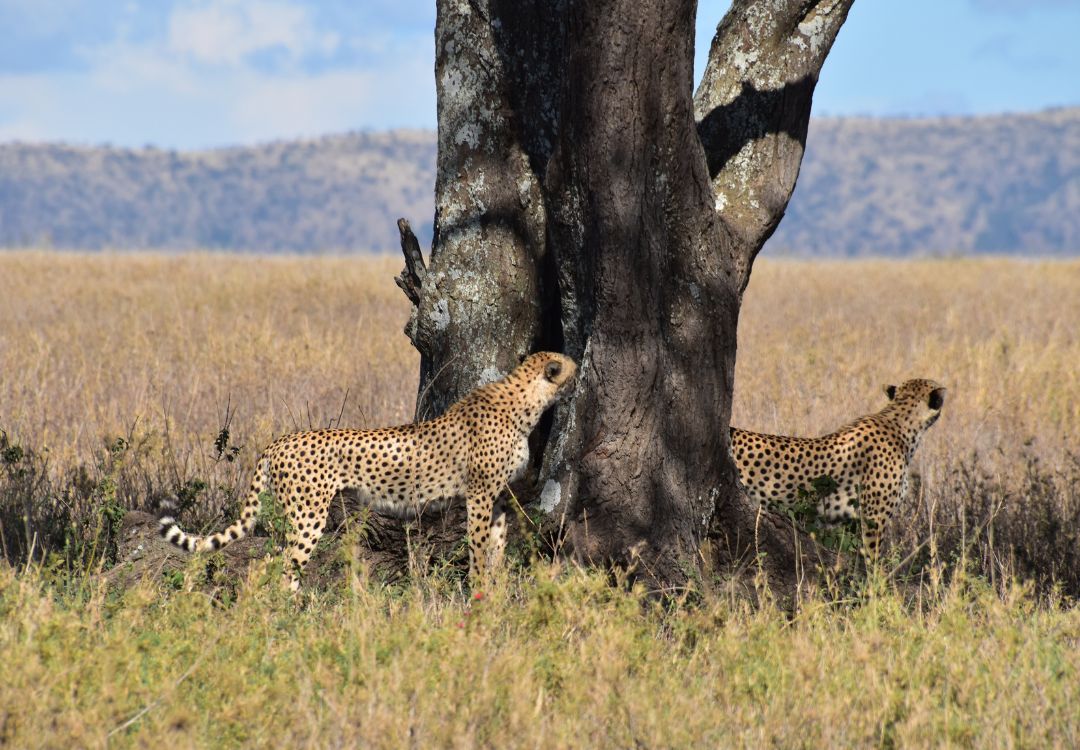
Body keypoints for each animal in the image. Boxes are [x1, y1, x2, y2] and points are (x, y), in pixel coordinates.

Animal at [160, 351, 578, 590]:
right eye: (572, 369)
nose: (582, 370)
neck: (525, 402)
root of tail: (279, 440)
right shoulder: (479, 495)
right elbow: (477, 546)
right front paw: (478, 595)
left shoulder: (498, 497)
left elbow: (495, 547)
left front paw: (494, 590)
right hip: (308, 515)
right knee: (282, 564)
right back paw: (288, 617)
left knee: (270, 561)